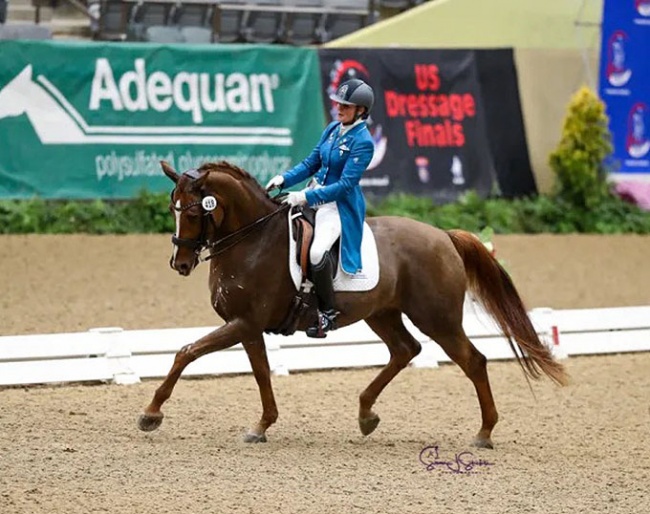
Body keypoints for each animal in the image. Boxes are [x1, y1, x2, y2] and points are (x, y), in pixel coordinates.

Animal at [137, 159, 568, 444]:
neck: (252, 240)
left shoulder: (243, 323)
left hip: (438, 319)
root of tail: (444, 236)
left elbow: (187, 352)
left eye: (195, 210)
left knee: (473, 361)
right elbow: (260, 373)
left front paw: (151, 414)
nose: (180, 263)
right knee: (405, 350)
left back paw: (484, 432)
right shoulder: (247, 326)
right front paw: (262, 426)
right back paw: (366, 415)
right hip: (382, 314)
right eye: (173, 207)